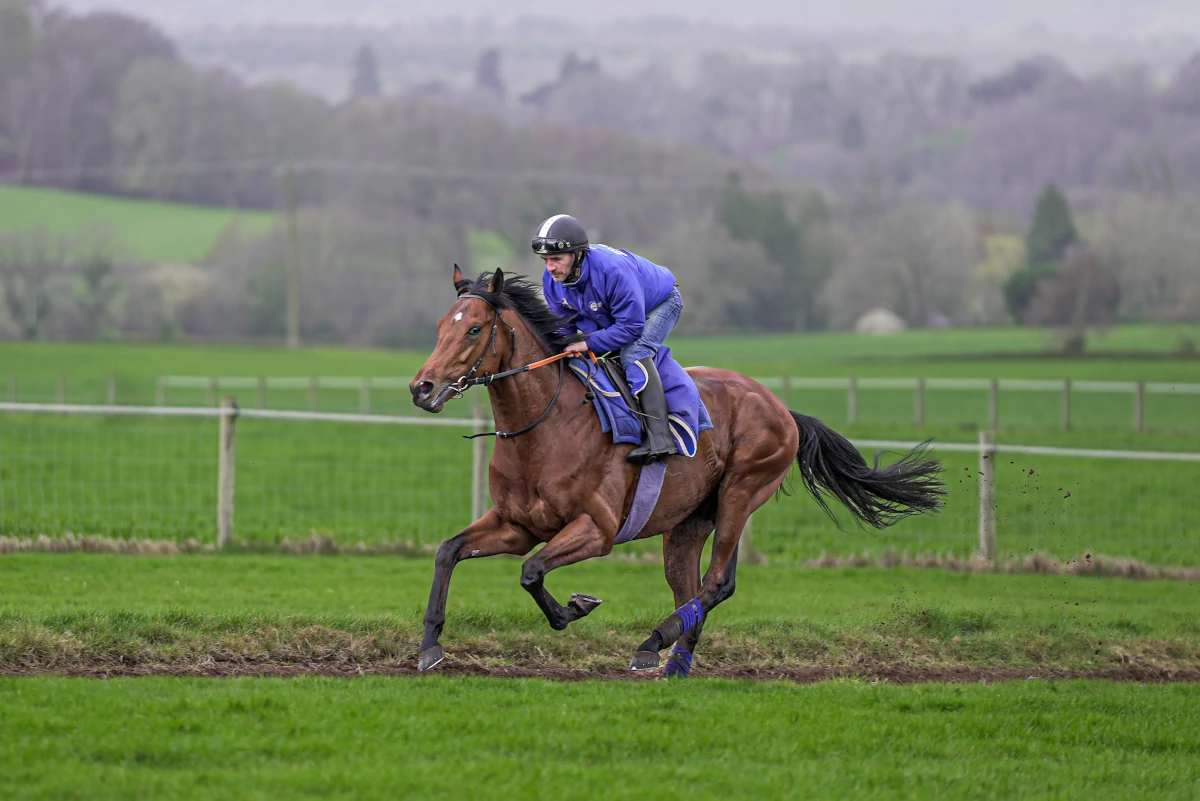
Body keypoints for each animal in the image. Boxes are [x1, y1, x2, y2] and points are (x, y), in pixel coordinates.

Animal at [412, 268, 945, 676]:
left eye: (474, 329)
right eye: (440, 326)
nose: (422, 387)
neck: (543, 429)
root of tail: (783, 409)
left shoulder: (597, 529)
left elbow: (531, 571)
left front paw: (576, 607)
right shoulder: (517, 525)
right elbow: (449, 552)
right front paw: (430, 647)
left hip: (741, 493)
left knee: (719, 583)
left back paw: (653, 643)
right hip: (689, 521)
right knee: (690, 587)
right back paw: (675, 661)